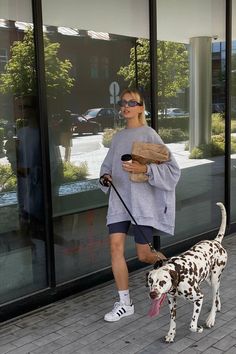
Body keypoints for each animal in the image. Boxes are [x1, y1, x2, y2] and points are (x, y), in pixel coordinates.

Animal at [147, 202, 228, 342]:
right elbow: (172, 321)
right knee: (217, 293)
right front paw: (171, 334)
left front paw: (198, 328)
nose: (153, 294)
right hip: (209, 279)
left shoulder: (199, 297)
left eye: (162, 282)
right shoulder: (171, 300)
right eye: (150, 281)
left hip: (214, 278)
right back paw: (218, 306)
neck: (179, 273)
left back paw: (211, 319)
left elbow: (192, 325)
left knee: (214, 297)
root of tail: (216, 242)